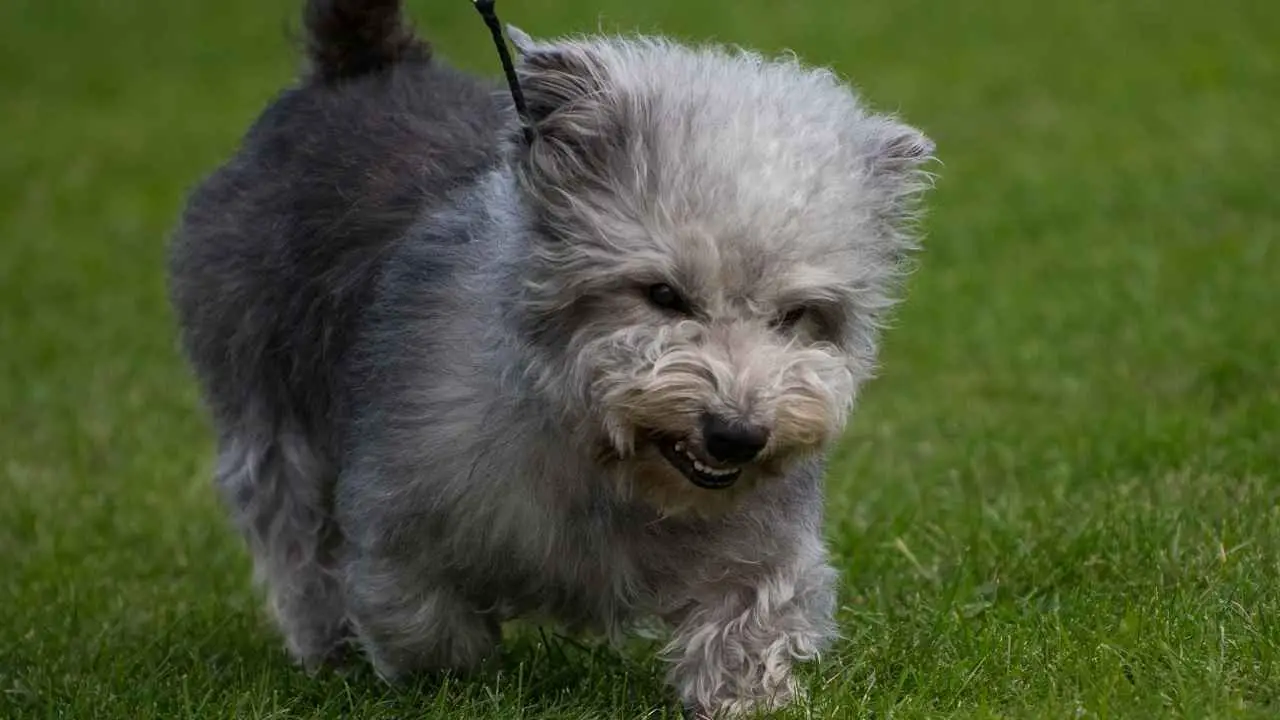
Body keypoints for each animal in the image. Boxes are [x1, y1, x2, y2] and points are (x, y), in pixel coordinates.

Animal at [167, 0, 931, 712]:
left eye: (795, 315)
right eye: (663, 294)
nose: (737, 434)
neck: (606, 461)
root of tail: (362, 67)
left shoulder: (756, 549)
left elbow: (750, 623)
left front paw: (747, 699)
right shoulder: (398, 523)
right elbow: (417, 616)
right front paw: (448, 679)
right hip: (268, 411)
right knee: (294, 541)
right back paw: (330, 653)